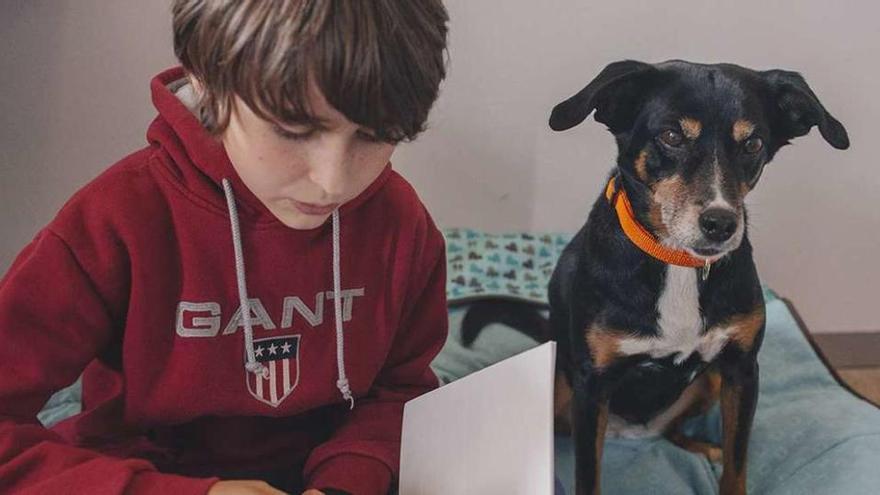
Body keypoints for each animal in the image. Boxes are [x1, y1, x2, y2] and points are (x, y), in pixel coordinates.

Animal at [464, 62, 848, 495]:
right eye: (671, 136)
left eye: (752, 144)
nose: (721, 224)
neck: (677, 262)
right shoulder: (592, 385)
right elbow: (587, 474)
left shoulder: (741, 370)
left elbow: (737, 463)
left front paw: (724, 461)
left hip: (710, 383)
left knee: (673, 432)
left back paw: (703, 447)